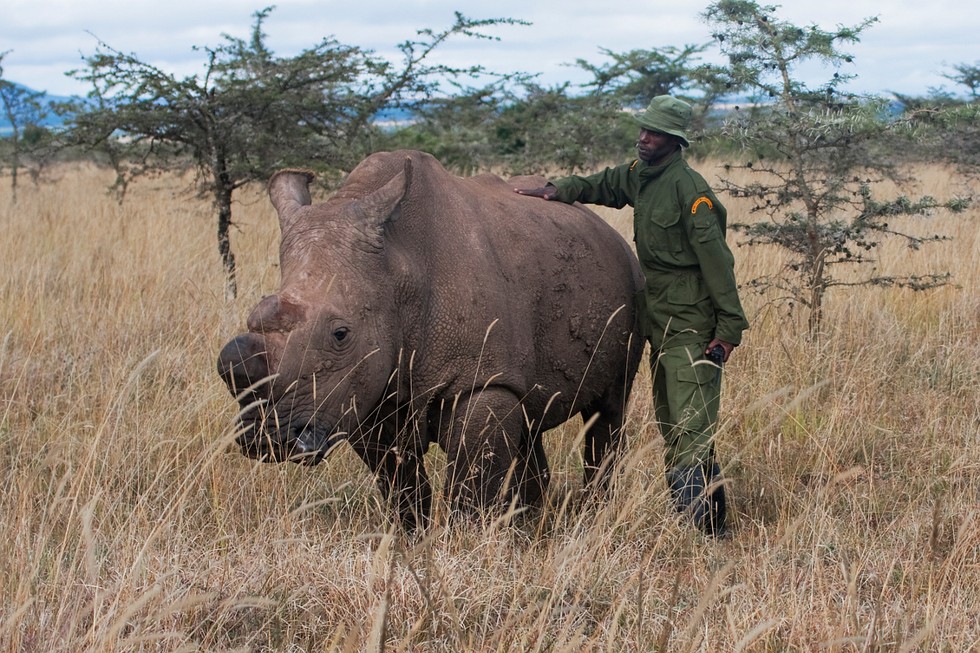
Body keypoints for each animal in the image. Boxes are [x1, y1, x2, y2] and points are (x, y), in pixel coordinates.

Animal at [217, 149, 644, 528]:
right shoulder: (365, 392)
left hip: (632, 281)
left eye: (340, 334)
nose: (265, 441)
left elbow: (472, 484)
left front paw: (467, 543)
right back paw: (530, 525)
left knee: (608, 410)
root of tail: (606, 230)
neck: (397, 271)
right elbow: (400, 485)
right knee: (530, 418)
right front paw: (412, 540)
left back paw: (591, 516)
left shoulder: (481, 380)